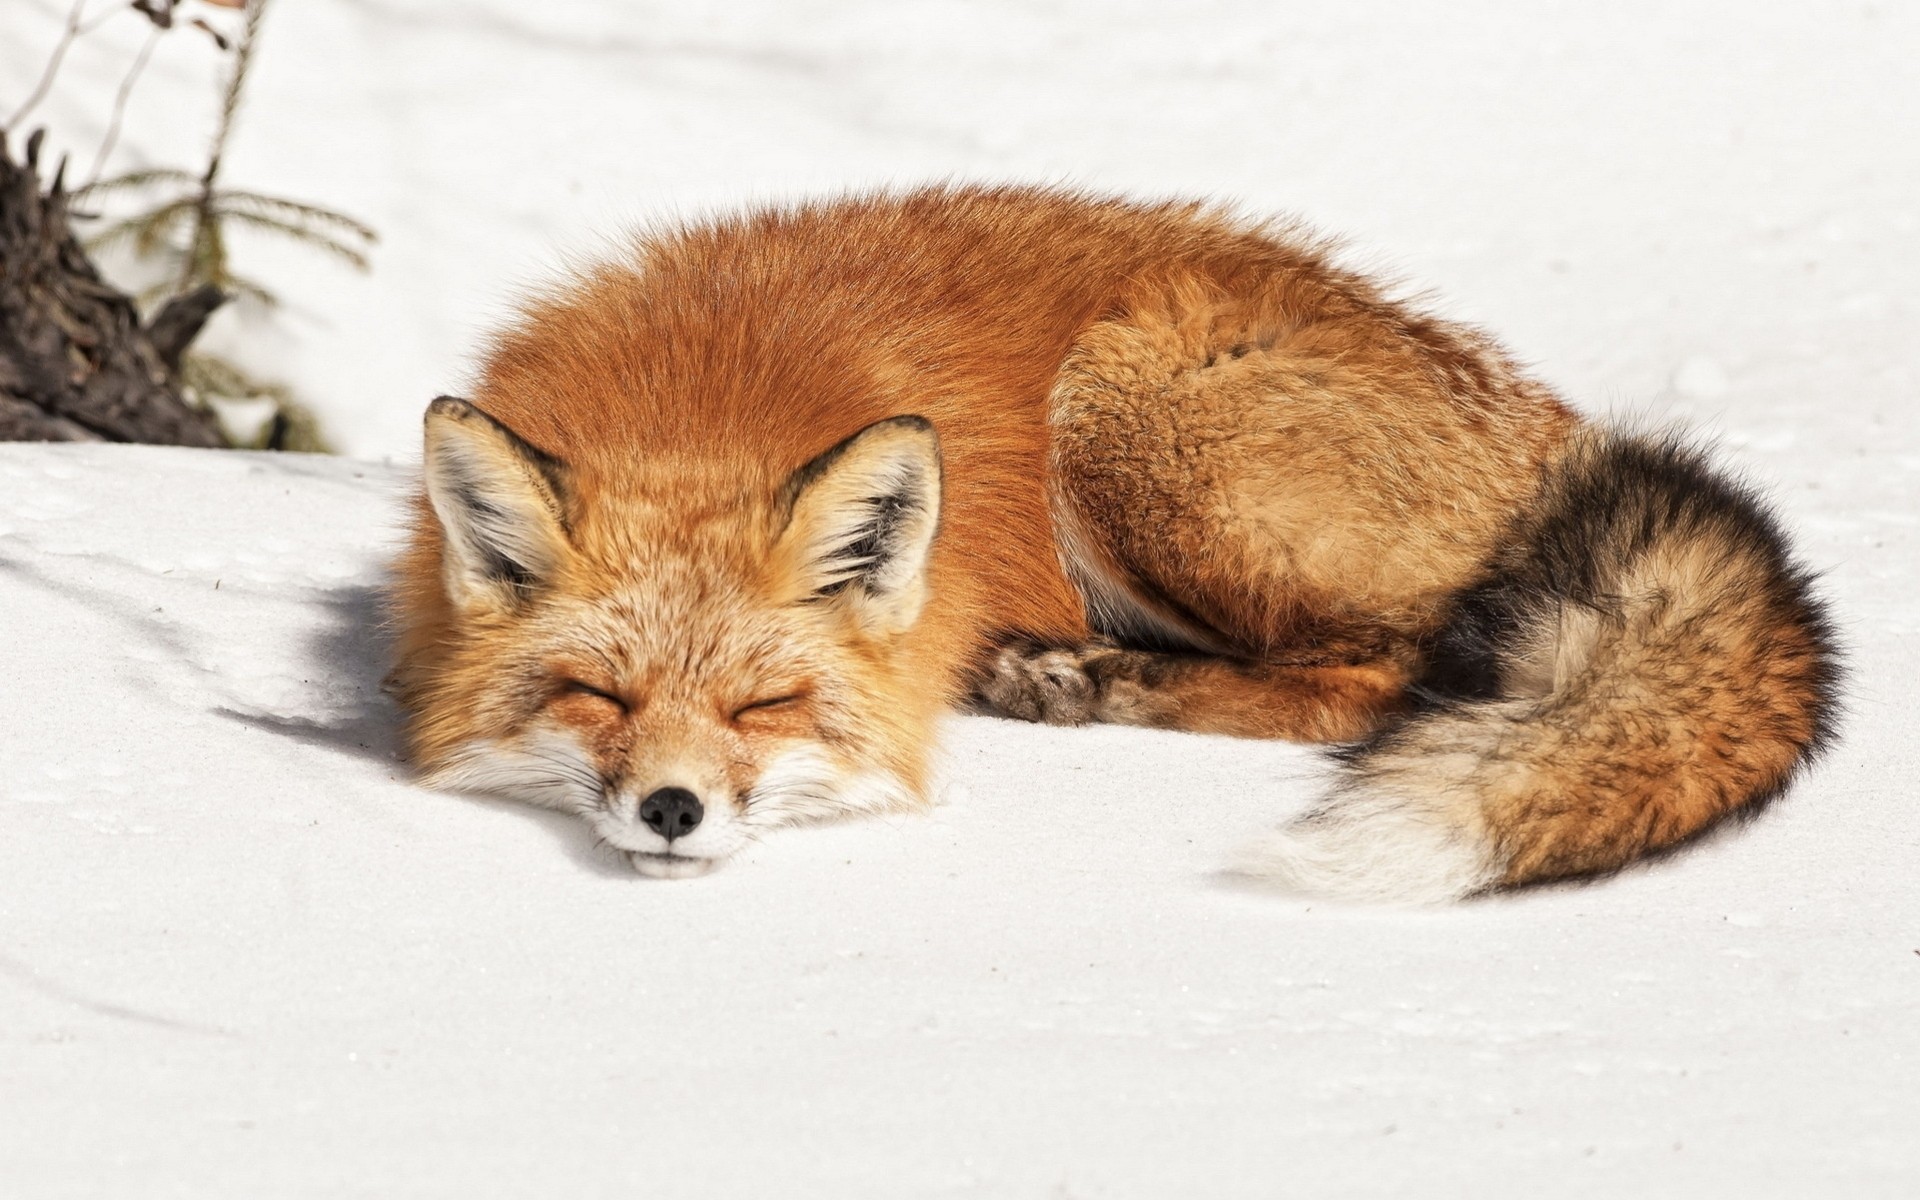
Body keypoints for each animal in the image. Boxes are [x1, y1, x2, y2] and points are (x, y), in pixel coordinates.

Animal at [382, 185, 1835, 898]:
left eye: (767, 706)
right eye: (598, 693)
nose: (672, 811)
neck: (703, 407)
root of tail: (1553, 423)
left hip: (1123, 418)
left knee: (1376, 678)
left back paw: (1082, 680)